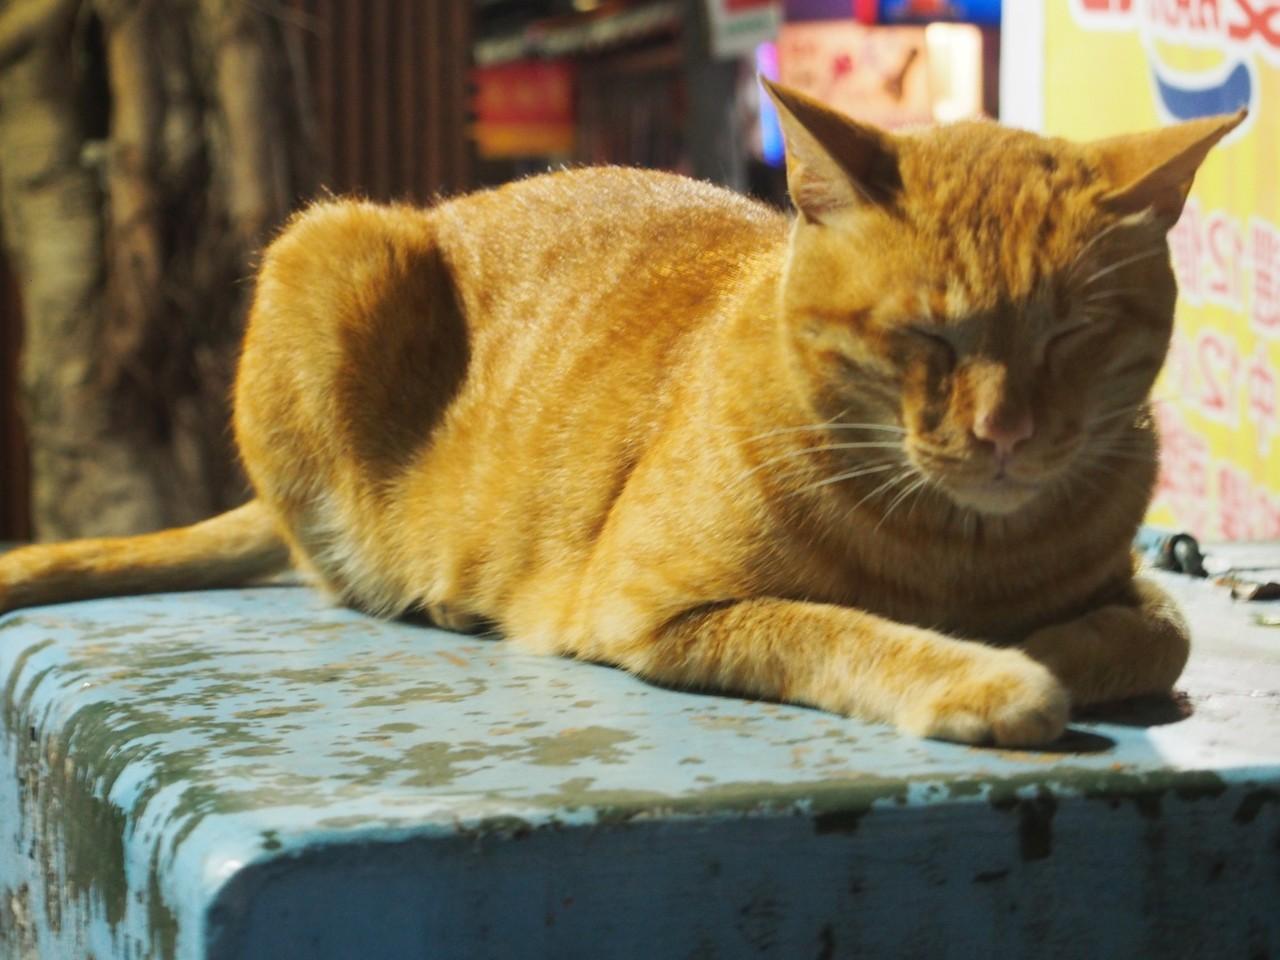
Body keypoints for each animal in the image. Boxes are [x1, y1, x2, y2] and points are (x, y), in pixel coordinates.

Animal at [0, 80, 1242, 747]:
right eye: (926, 337)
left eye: (1073, 334)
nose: (1002, 434)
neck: (959, 552)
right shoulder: (662, 610)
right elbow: (842, 629)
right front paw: (991, 673)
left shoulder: (1125, 579)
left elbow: (1159, 631)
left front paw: (1040, 643)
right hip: (333, 246)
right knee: (334, 568)